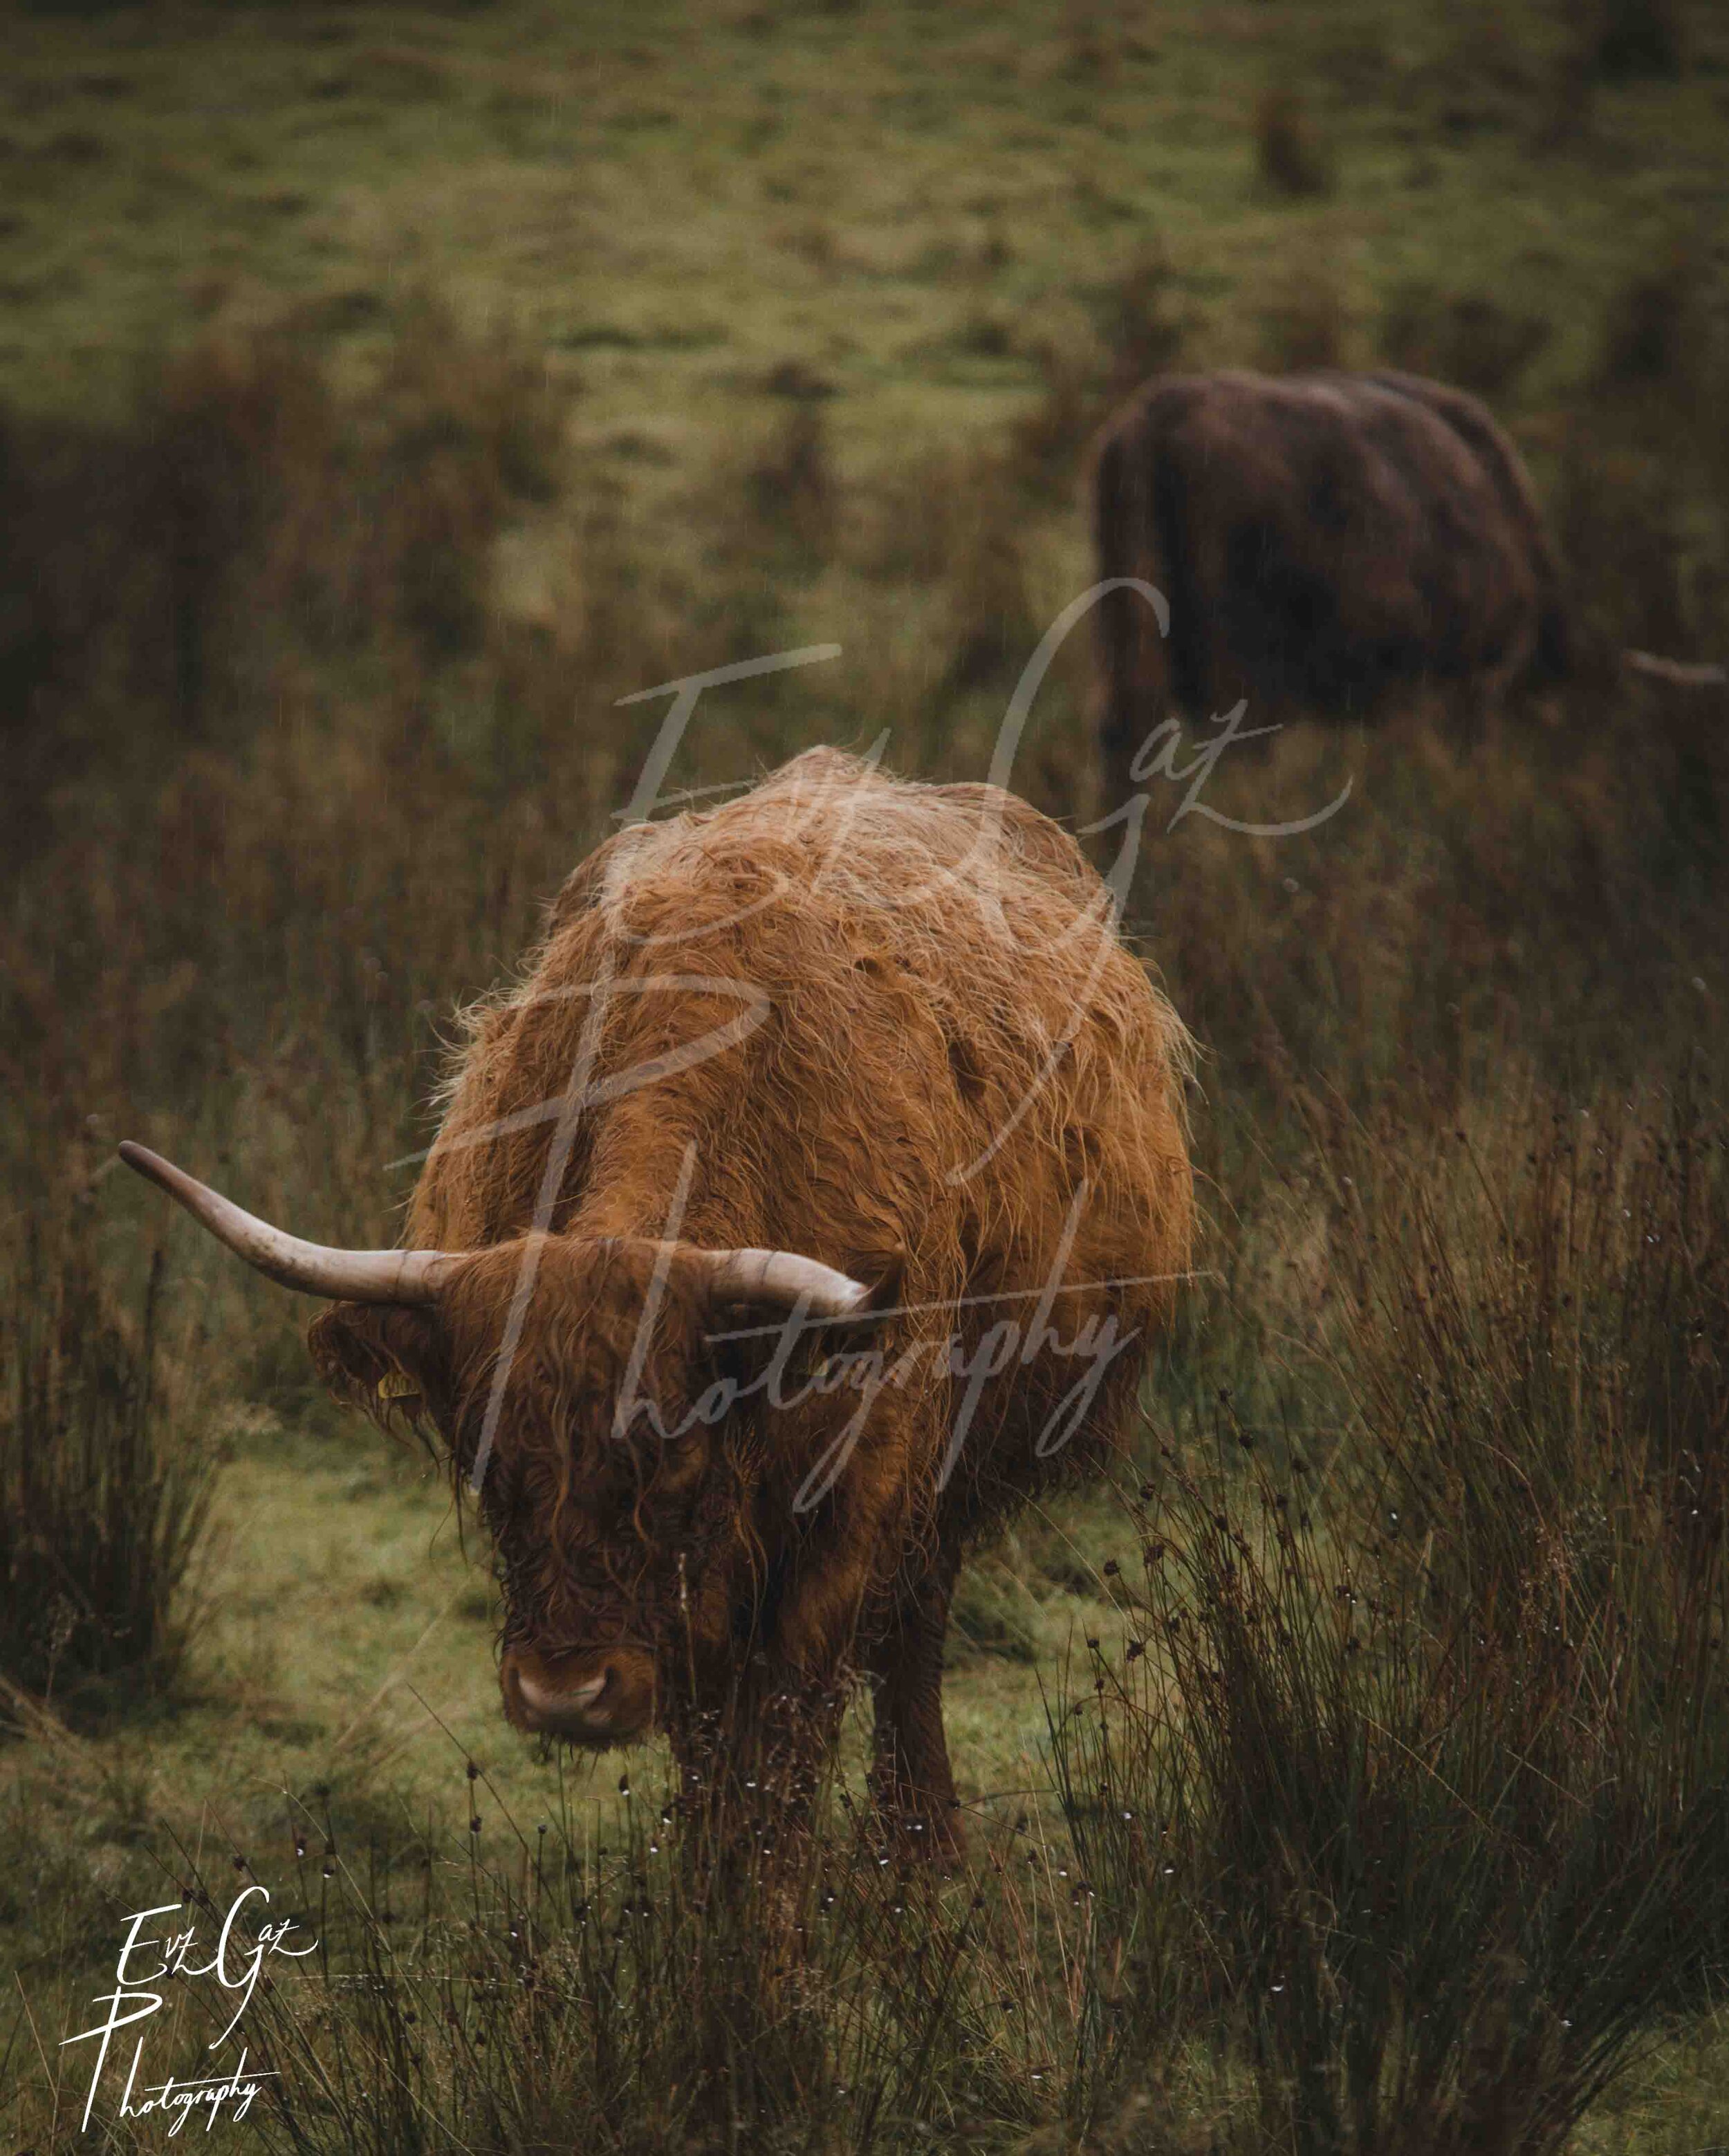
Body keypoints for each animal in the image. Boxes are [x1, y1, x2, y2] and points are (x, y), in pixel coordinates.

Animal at [121, 747, 1193, 1861]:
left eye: (673, 1453)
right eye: (487, 1460)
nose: (563, 1693)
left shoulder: (855, 1491)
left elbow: (789, 1722)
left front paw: (764, 1896)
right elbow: (711, 1737)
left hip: (959, 1469)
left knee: (915, 1626)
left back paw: (920, 1842)